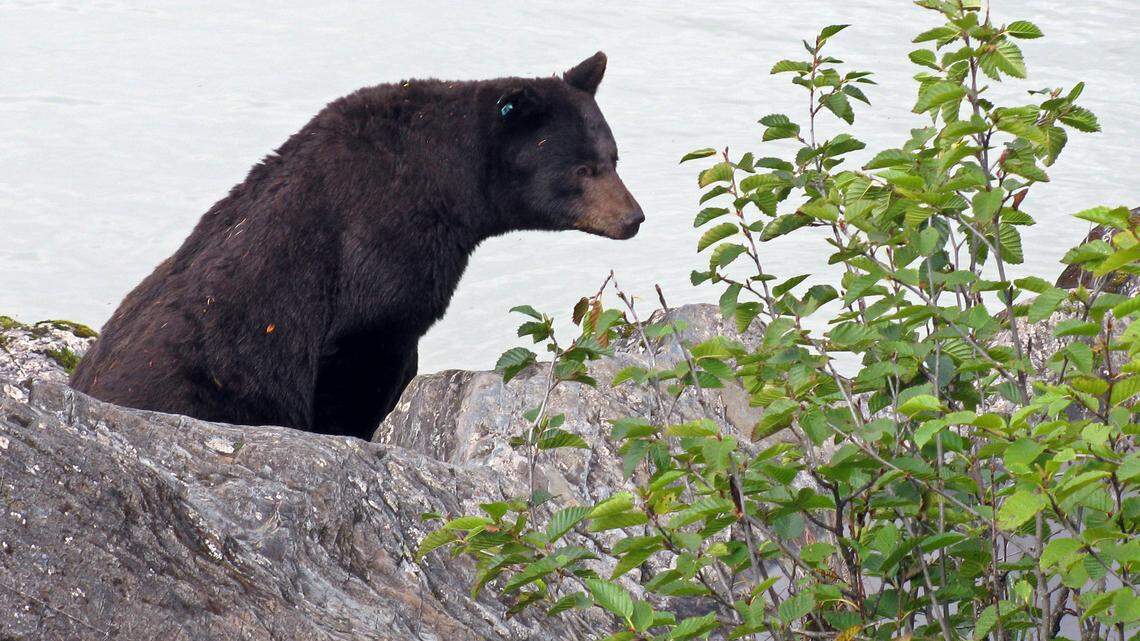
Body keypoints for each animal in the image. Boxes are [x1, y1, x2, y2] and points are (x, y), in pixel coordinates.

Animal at [70, 52, 643, 440]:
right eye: (583, 169)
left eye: (613, 156)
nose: (633, 218)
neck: (447, 182)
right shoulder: (378, 245)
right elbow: (363, 353)